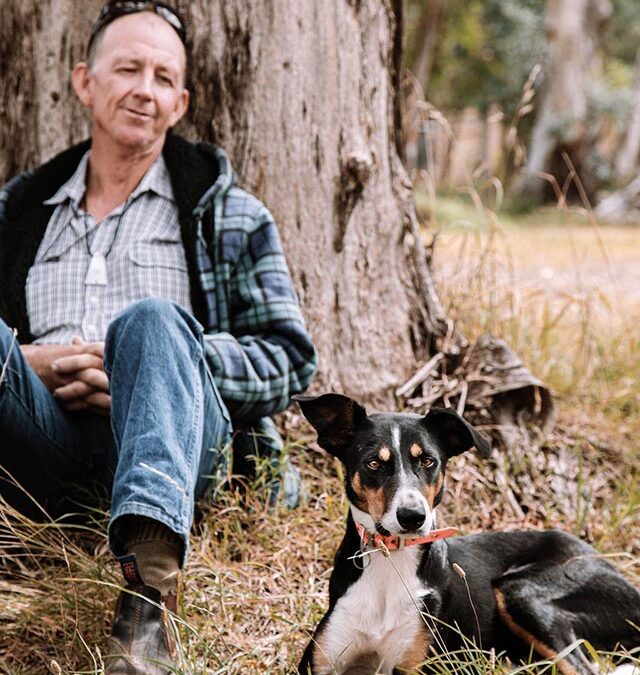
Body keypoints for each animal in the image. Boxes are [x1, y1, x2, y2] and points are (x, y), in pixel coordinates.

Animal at [296, 394, 640, 672]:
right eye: (373, 464)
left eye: (428, 460)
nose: (413, 517)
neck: (389, 562)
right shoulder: (319, 663)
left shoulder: (420, 665)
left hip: (521, 592)